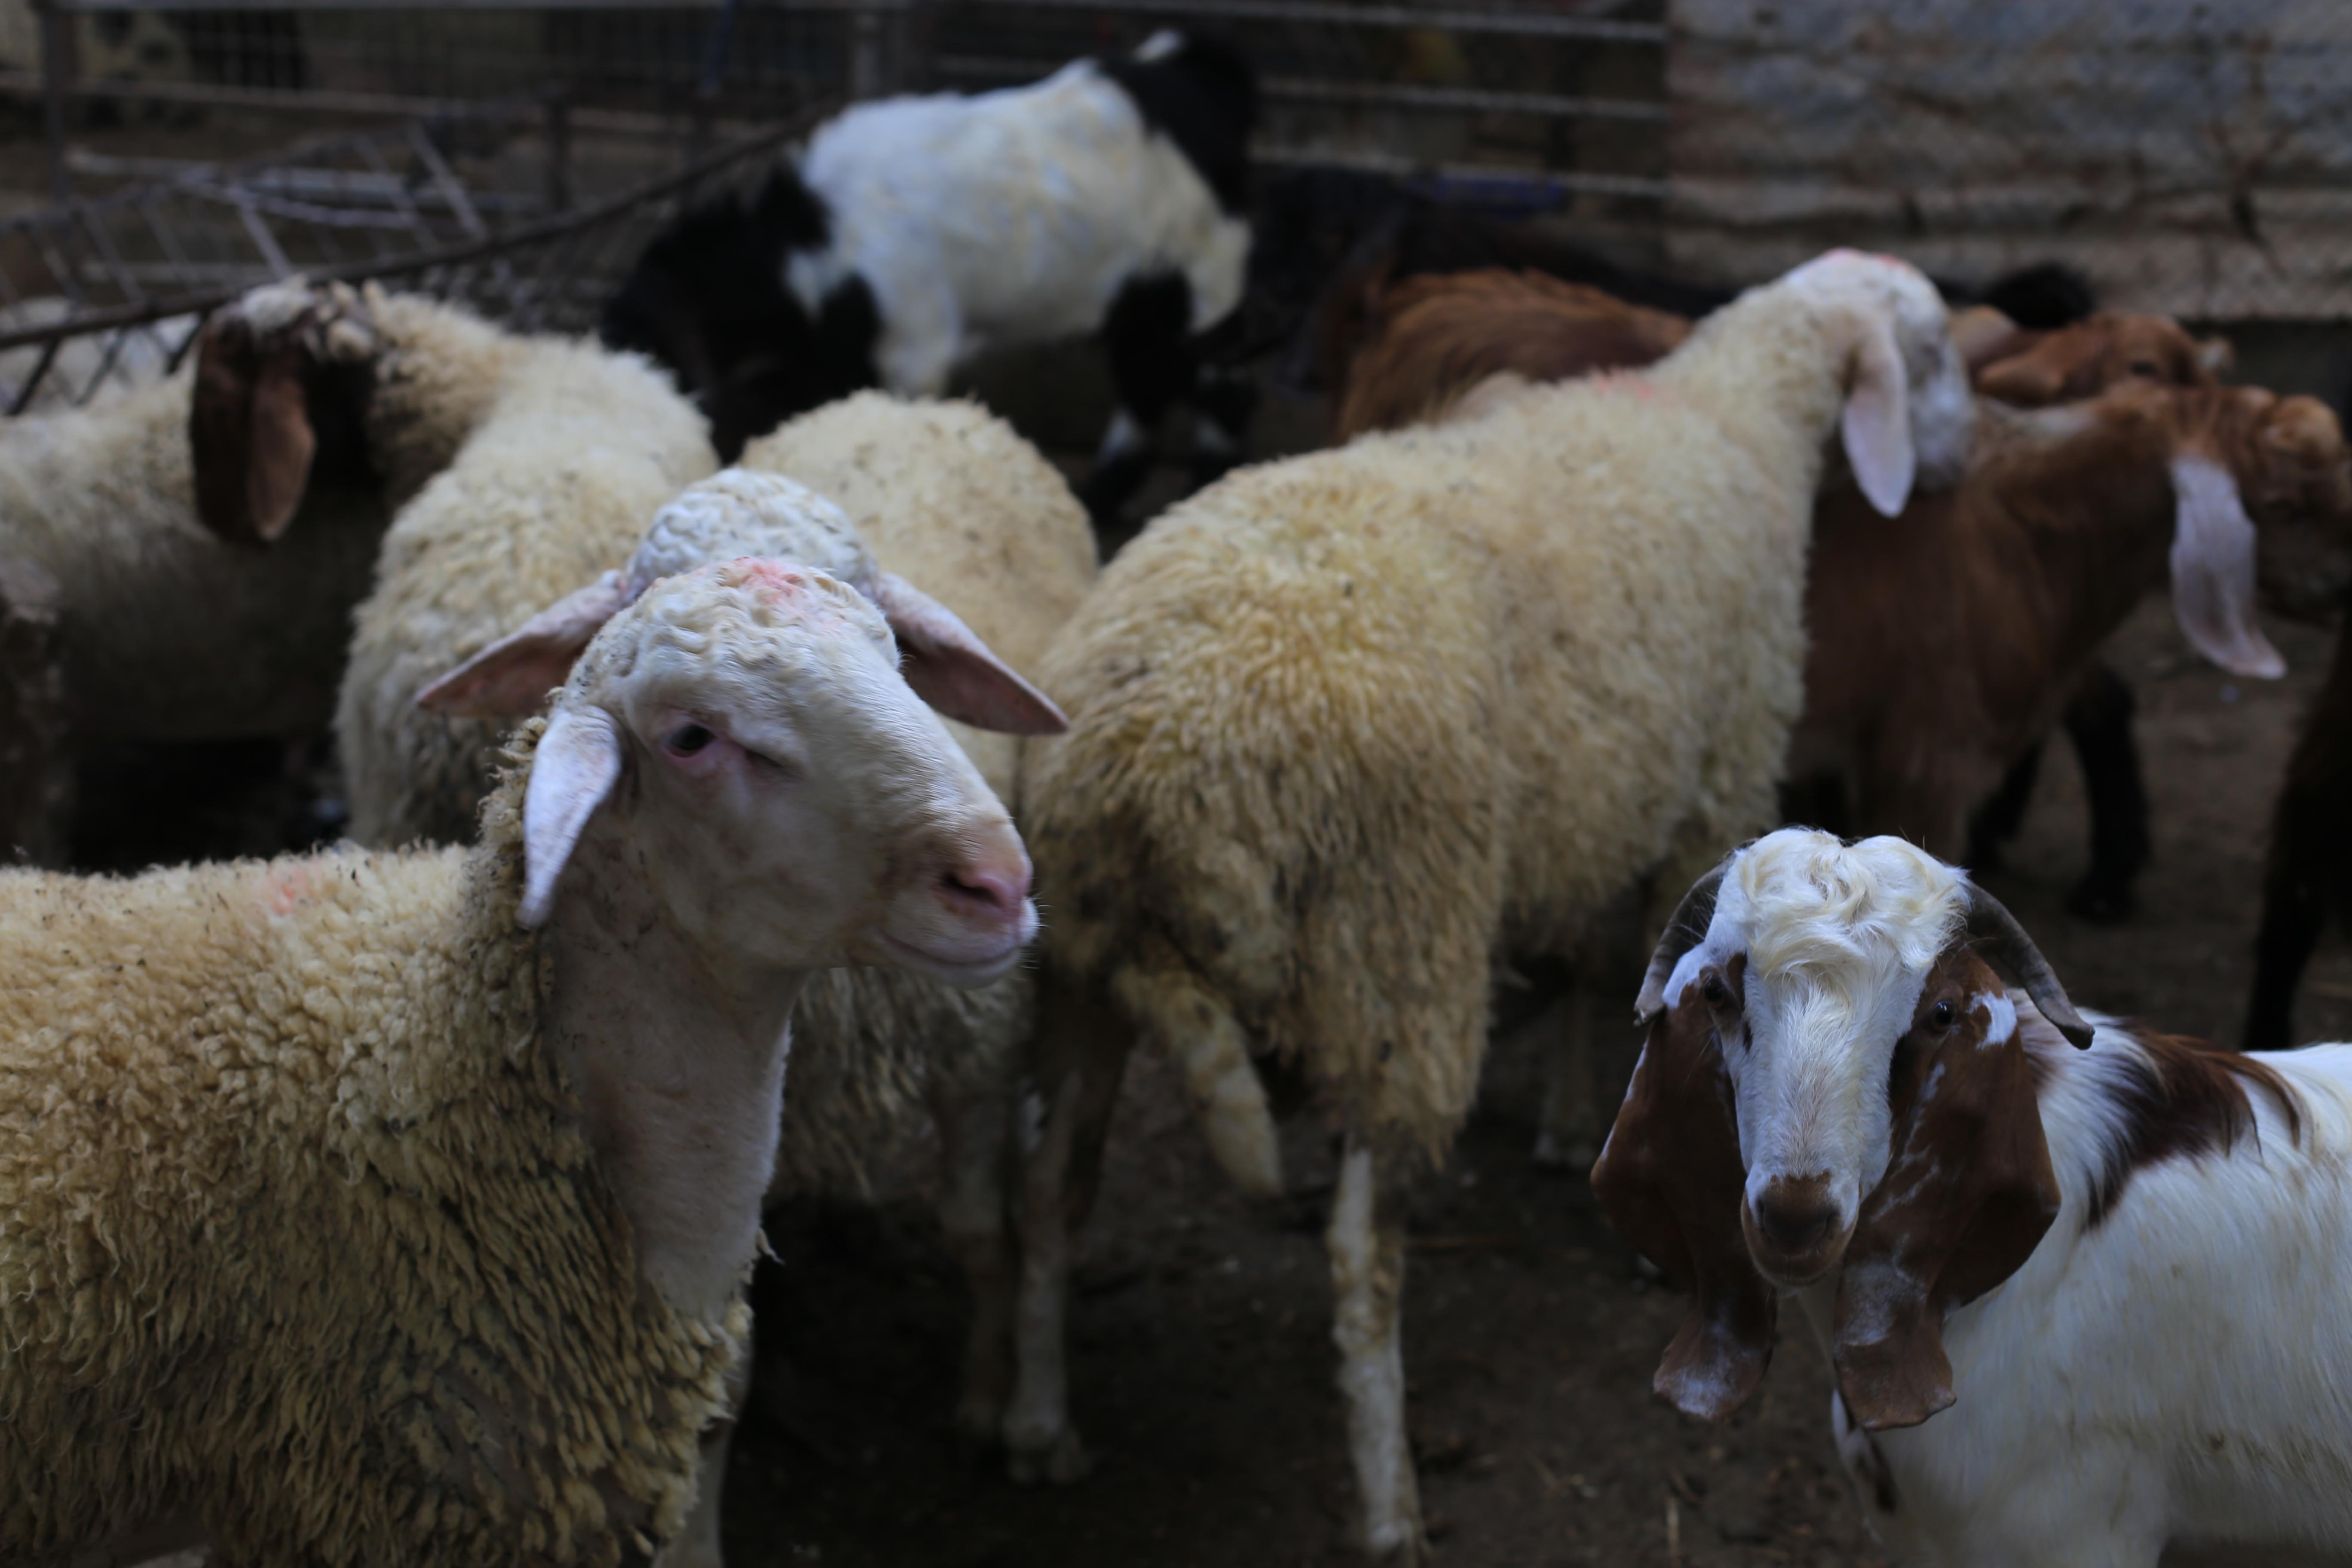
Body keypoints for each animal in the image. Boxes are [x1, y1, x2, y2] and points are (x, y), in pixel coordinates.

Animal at [410, 397, 1104, 1483]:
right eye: (690, 731)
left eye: (895, 648)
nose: (996, 878)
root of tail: (915, 403)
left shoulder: (975, 1045)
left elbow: (978, 1233)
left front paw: (1001, 1401)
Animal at [603, 31, 1257, 524]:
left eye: (648, 338)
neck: (811, 241)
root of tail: (1199, 72)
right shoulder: (833, 349)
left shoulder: (913, 345)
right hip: (1139, 300)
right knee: (1148, 384)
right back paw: (1100, 504)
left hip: (1206, 275)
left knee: (1215, 386)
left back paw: (1204, 489)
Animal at [1016, 249, 1974, 1561]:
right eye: (1929, 352)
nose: (1967, 458)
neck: (1733, 418)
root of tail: (1149, 765)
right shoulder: (1712, 789)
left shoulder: (1592, 797)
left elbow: (1588, 964)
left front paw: (1573, 1121)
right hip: (1402, 948)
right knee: (1360, 1258)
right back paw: (1388, 1497)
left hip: (1083, 971)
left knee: (1051, 1190)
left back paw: (1031, 1417)